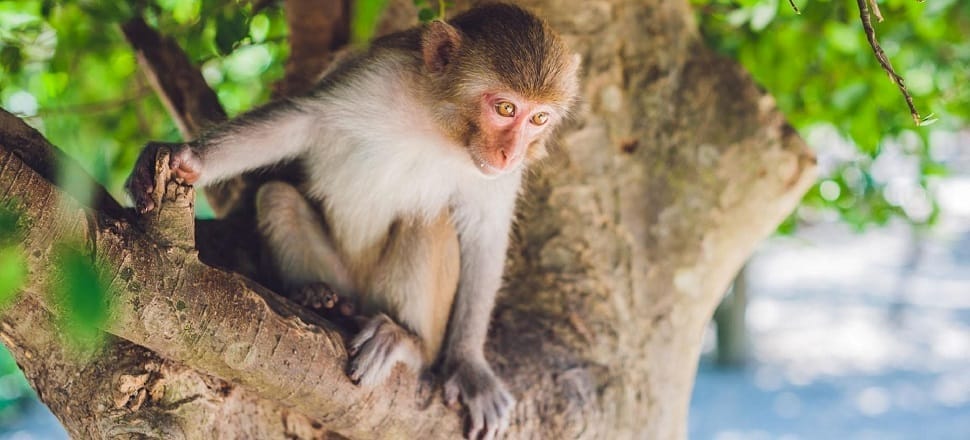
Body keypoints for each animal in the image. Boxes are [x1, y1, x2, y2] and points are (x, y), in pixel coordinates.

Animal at [127, 4, 579, 439]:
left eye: (539, 119)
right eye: (505, 108)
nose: (511, 154)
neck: (441, 125)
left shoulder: (493, 176)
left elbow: (485, 234)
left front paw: (469, 364)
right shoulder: (379, 74)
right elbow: (303, 119)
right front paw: (188, 157)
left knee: (427, 221)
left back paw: (409, 342)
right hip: (341, 272)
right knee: (277, 197)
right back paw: (319, 297)